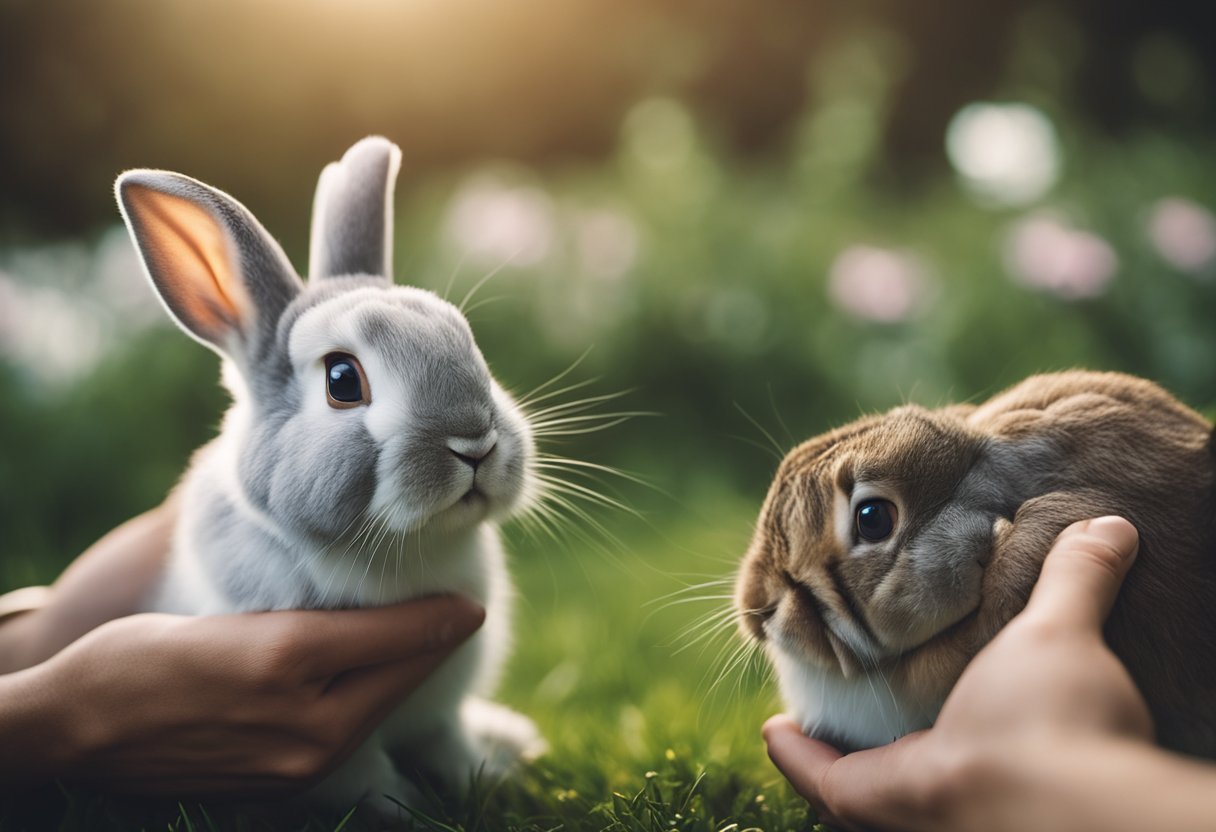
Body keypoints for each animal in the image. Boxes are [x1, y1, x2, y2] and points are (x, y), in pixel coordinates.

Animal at [116, 139, 544, 817]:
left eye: (470, 342)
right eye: (343, 380)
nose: (474, 443)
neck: (406, 549)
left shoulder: (440, 712)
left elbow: (449, 743)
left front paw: (484, 779)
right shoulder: (335, 747)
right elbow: (368, 780)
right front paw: (407, 813)